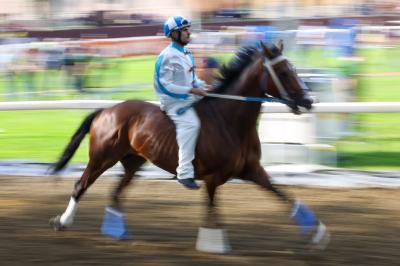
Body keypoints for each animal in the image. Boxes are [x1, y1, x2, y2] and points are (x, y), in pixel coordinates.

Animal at [49, 41, 328, 251]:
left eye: (293, 68)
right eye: (283, 73)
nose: (308, 101)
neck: (229, 120)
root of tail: (106, 110)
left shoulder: (252, 171)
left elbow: (283, 195)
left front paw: (318, 232)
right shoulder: (213, 177)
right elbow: (212, 210)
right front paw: (213, 244)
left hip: (133, 162)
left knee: (116, 193)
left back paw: (117, 232)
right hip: (101, 157)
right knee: (81, 185)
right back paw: (63, 221)